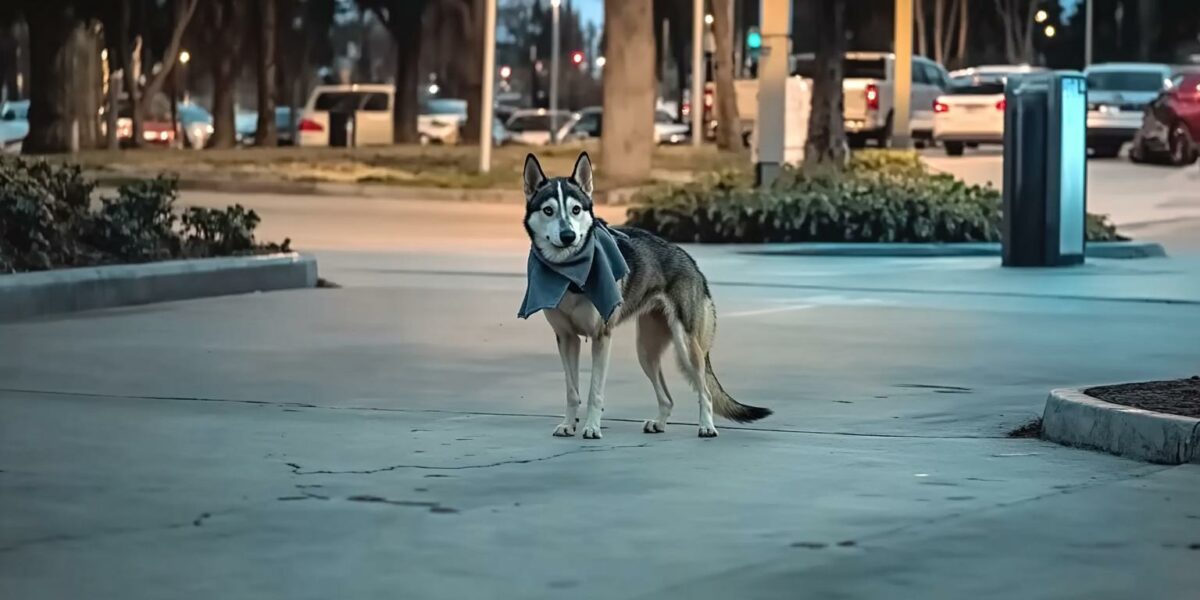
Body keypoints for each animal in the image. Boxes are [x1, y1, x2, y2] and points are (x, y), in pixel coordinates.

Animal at [516, 152, 768, 439]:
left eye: (576, 210)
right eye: (548, 210)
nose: (568, 236)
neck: (571, 275)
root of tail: (691, 262)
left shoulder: (601, 337)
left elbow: (594, 393)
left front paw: (591, 427)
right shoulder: (567, 339)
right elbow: (572, 392)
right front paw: (569, 424)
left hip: (687, 348)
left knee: (705, 391)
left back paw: (706, 426)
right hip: (646, 352)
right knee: (667, 398)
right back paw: (659, 423)